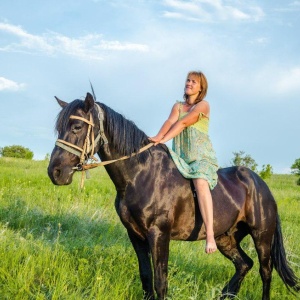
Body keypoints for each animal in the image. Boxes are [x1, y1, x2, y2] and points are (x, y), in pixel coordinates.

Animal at [48, 92, 298, 298]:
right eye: (59, 128)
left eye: (77, 127)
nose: (55, 172)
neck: (140, 174)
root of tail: (260, 183)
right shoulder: (135, 235)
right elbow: (146, 278)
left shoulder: (159, 234)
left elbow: (161, 282)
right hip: (225, 237)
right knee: (244, 264)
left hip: (262, 235)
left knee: (266, 272)